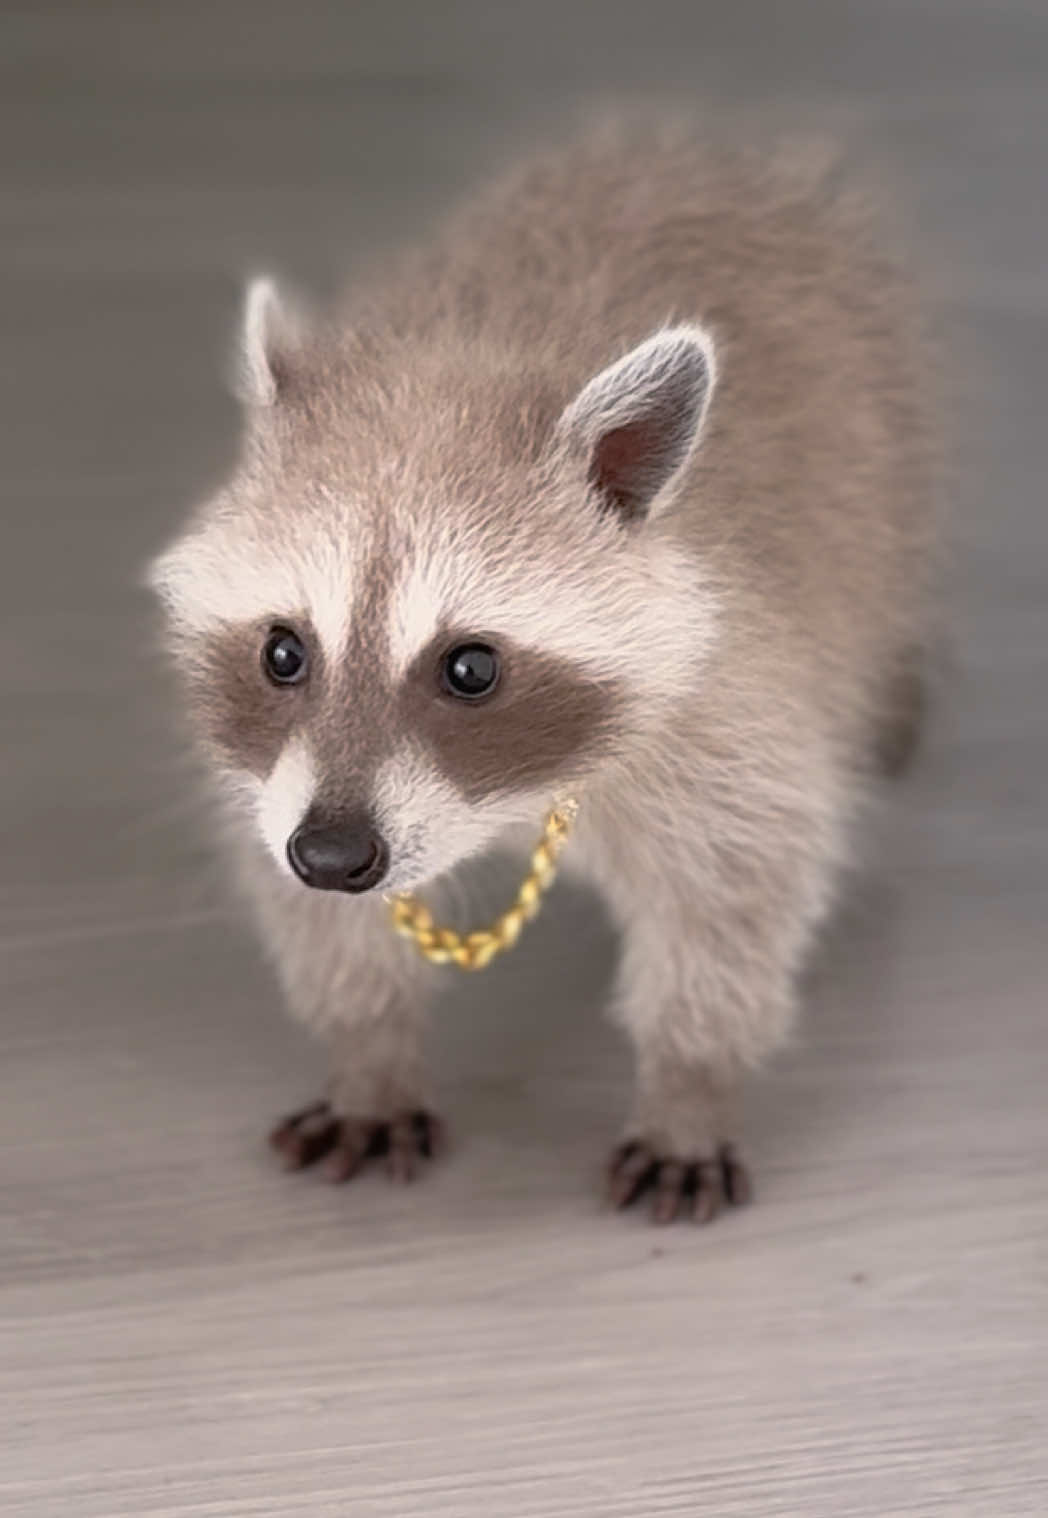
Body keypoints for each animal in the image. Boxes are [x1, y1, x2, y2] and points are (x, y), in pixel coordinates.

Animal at [149, 120, 939, 1223]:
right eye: (283, 652)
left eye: (472, 667)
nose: (335, 856)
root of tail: (705, 148)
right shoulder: (273, 777)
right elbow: (315, 914)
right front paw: (369, 1052)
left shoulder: (726, 703)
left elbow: (735, 894)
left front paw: (687, 1087)